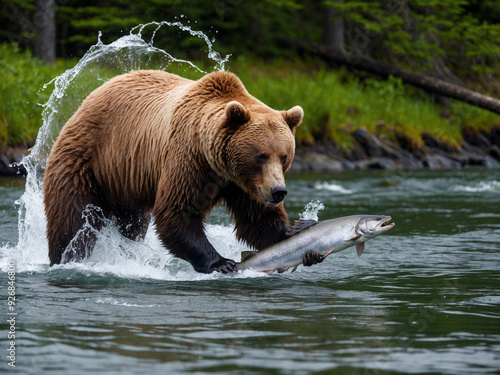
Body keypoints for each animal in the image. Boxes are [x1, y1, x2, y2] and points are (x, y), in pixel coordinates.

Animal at [43, 69, 302, 274]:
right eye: (261, 156)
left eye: (284, 156)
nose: (278, 191)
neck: (218, 165)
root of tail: (86, 101)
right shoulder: (189, 159)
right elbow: (177, 211)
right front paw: (221, 262)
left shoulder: (243, 184)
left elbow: (256, 219)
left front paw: (292, 231)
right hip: (85, 161)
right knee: (71, 221)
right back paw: (66, 258)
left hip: (125, 181)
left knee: (132, 224)